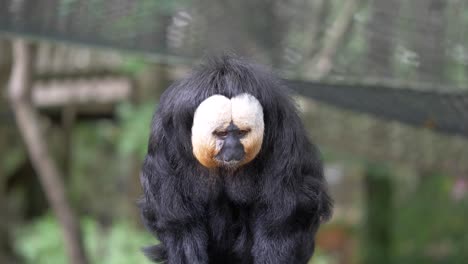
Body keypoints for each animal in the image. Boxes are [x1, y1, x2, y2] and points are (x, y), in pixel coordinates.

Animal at [139, 54, 332, 262]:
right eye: (222, 134)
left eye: (241, 133)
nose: (233, 147)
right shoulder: (166, 133)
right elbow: (174, 214)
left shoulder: (284, 129)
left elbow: (284, 214)